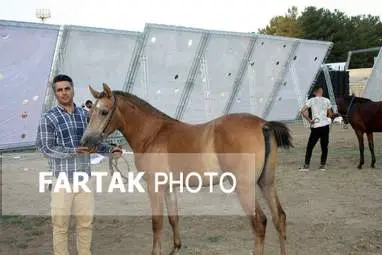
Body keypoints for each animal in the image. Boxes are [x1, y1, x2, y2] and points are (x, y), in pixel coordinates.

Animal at [79, 83, 290, 255]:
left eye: (104, 112)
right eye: (89, 114)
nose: (85, 143)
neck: (152, 134)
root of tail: (263, 124)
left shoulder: (154, 188)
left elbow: (157, 223)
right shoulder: (169, 188)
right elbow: (174, 219)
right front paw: (176, 248)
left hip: (245, 188)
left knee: (260, 223)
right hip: (266, 183)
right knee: (279, 218)